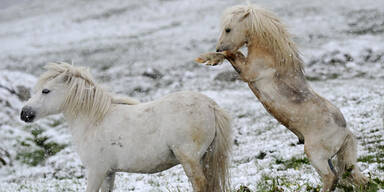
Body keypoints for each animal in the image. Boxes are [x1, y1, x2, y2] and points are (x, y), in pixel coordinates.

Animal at [20, 62, 231, 191]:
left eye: (46, 91)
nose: (24, 114)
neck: (94, 120)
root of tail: (210, 105)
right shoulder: (108, 173)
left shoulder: (96, 171)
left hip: (190, 159)